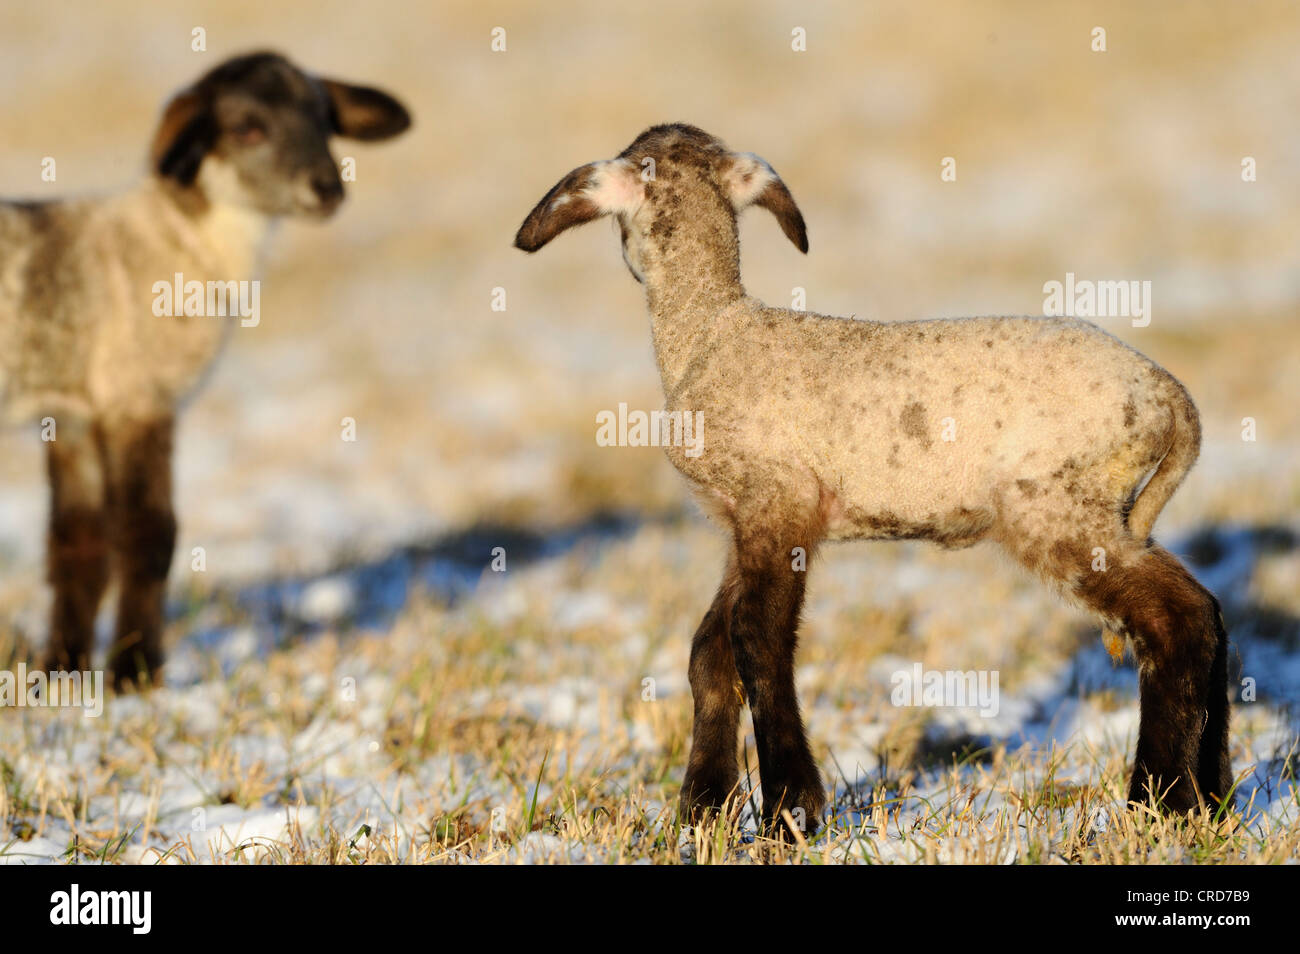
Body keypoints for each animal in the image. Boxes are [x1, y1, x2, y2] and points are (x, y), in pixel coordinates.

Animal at [0, 52, 410, 691]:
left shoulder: (73, 414)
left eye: (324, 118)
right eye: (247, 128)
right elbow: (149, 533)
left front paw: (62, 674)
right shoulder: (140, 397)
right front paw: (135, 674)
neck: (184, 243)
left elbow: (77, 547)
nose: (327, 187)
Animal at [514, 123, 1227, 831]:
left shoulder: (781, 501)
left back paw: (1160, 802)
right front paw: (704, 809)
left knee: (1176, 619)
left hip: (1056, 509)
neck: (713, 331)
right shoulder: (743, 523)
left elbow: (757, 643)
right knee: (1207, 610)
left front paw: (790, 810)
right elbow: (709, 652)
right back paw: (1211, 799)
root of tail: (1171, 398)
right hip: (1103, 510)